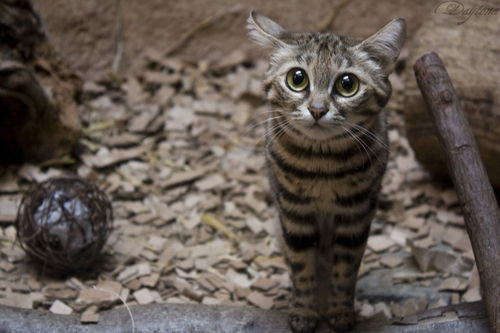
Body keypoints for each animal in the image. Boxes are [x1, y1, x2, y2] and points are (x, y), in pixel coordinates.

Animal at [246, 11, 406, 330]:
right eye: (297, 79)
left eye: (347, 84)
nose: (318, 110)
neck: (322, 165)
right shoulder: (294, 212)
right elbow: (302, 267)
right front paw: (305, 313)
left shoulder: (356, 214)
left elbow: (345, 269)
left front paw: (340, 313)